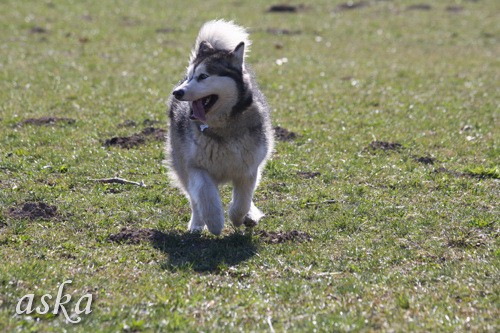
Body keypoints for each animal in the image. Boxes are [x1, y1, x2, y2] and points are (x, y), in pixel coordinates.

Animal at [166, 19, 274, 235]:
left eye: (203, 76)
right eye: (190, 76)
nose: (177, 92)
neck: (223, 128)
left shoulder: (248, 169)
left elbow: (243, 200)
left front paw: (239, 216)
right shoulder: (195, 167)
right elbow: (204, 195)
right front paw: (215, 222)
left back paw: (251, 215)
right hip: (181, 165)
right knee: (194, 200)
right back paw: (197, 224)